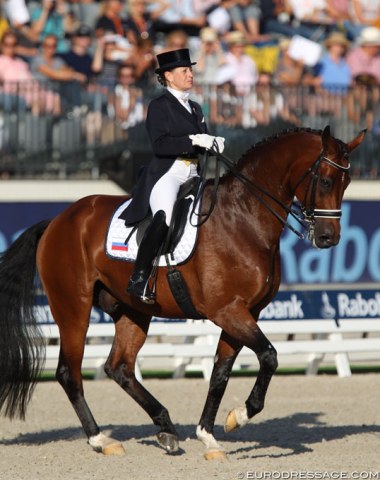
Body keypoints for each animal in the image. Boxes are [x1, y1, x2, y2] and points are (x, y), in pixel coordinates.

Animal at [0, 125, 366, 460]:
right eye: (325, 181)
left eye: (347, 183)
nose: (329, 237)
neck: (244, 218)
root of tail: (58, 221)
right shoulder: (228, 311)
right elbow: (268, 356)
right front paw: (240, 415)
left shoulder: (244, 312)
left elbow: (220, 373)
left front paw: (209, 436)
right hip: (72, 307)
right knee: (69, 373)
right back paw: (101, 440)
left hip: (133, 310)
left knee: (120, 368)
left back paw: (166, 429)